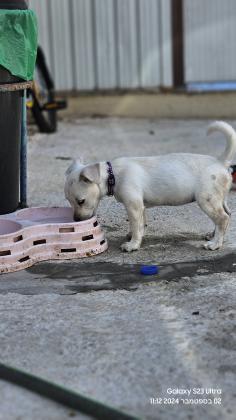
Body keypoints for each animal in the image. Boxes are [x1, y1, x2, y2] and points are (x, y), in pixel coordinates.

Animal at [64, 121, 236, 253]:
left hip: (206, 200)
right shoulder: (140, 206)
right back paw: (213, 235)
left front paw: (132, 245)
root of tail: (220, 162)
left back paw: (215, 244)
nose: (76, 220)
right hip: (218, 200)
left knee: (222, 218)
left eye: (81, 201)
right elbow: (140, 225)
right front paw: (133, 236)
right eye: (69, 201)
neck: (112, 175)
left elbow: (136, 225)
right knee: (226, 215)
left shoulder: (133, 206)